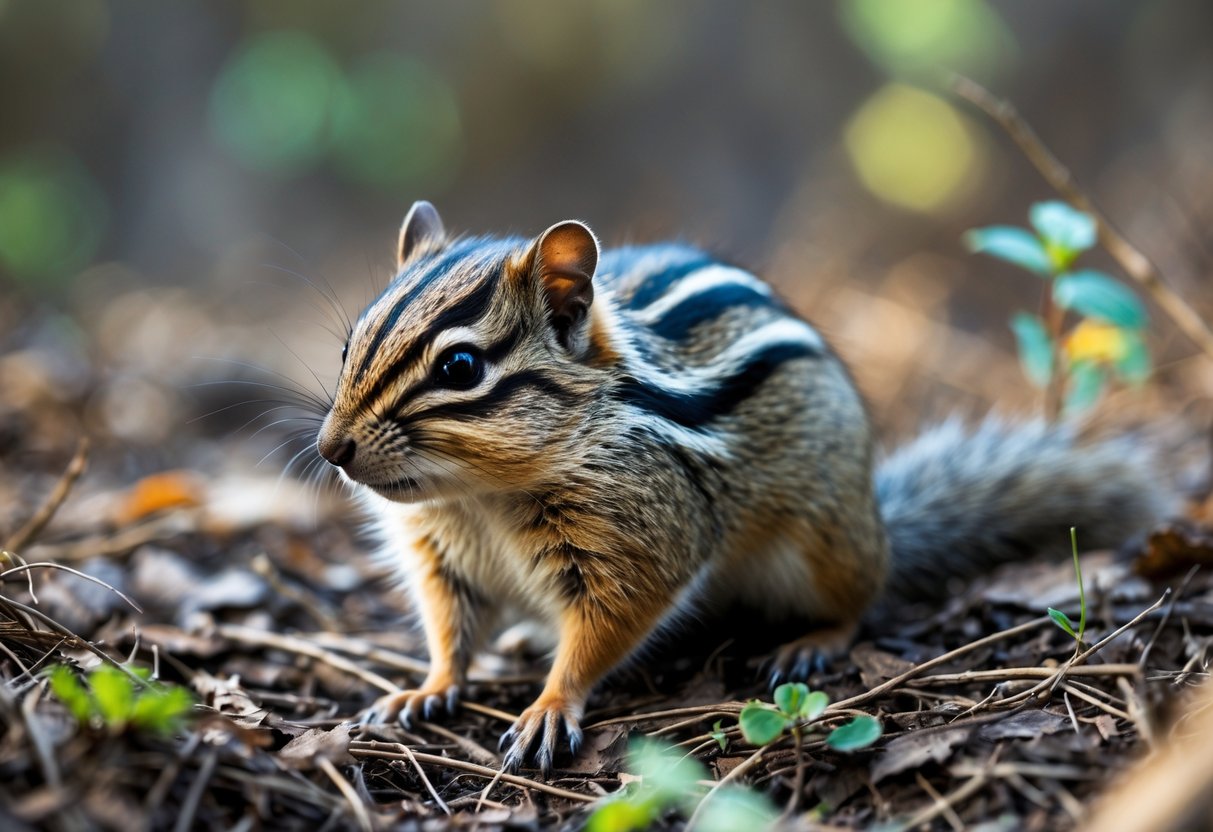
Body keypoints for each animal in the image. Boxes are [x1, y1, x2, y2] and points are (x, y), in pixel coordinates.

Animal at [316, 201, 1170, 773]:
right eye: (350, 344)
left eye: (460, 368)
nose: (330, 448)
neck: (481, 494)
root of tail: (879, 521)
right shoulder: (442, 558)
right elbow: (449, 631)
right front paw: (425, 689)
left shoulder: (642, 540)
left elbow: (603, 633)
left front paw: (549, 706)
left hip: (823, 547)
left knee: (860, 600)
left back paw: (809, 644)